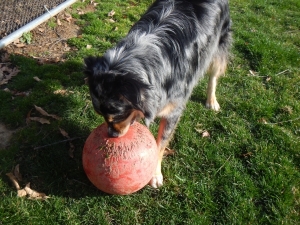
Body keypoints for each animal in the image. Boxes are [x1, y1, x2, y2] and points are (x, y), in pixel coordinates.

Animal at [84, 0, 232, 188]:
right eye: (101, 115)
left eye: (117, 116)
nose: (112, 135)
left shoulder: (173, 110)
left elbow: (160, 143)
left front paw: (154, 175)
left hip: (219, 42)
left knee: (214, 73)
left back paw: (211, 100)